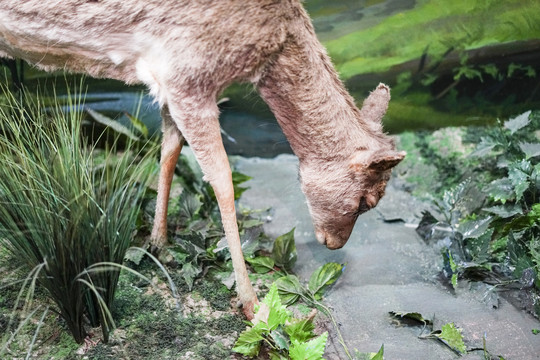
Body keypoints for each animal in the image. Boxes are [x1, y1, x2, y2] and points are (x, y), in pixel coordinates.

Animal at [0, 0, 404, 320]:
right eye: (366, 200)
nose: (334, 244)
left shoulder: (168, 82)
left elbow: (169, 150)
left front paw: (158, 242)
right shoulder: (188, 77)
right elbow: (222, 179)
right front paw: (252, 304)